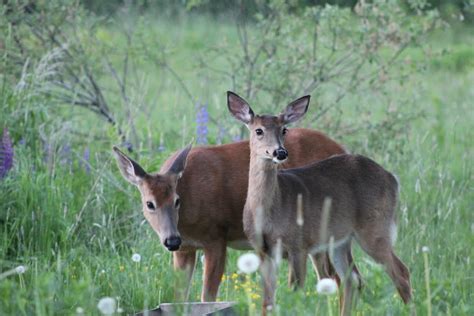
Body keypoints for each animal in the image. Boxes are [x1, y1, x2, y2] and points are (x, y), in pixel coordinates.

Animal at [112, 95, 360, 302]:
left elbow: (207, 298)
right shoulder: (185, 249)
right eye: (149, 204)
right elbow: (179, 299)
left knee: (341, 278)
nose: (171, 240)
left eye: (176, 200)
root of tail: (343, 148)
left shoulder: (216, 237)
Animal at [227, 90, 412, 314]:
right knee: (353, 279)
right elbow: (267, 302)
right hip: (342, 238)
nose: (280, 152)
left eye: (284, 129)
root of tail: (393, 178)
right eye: (258, 130)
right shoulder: (262, 251)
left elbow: (295, 295)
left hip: (375, 229)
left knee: (401, 272)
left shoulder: (298, 245)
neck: (270, 211)